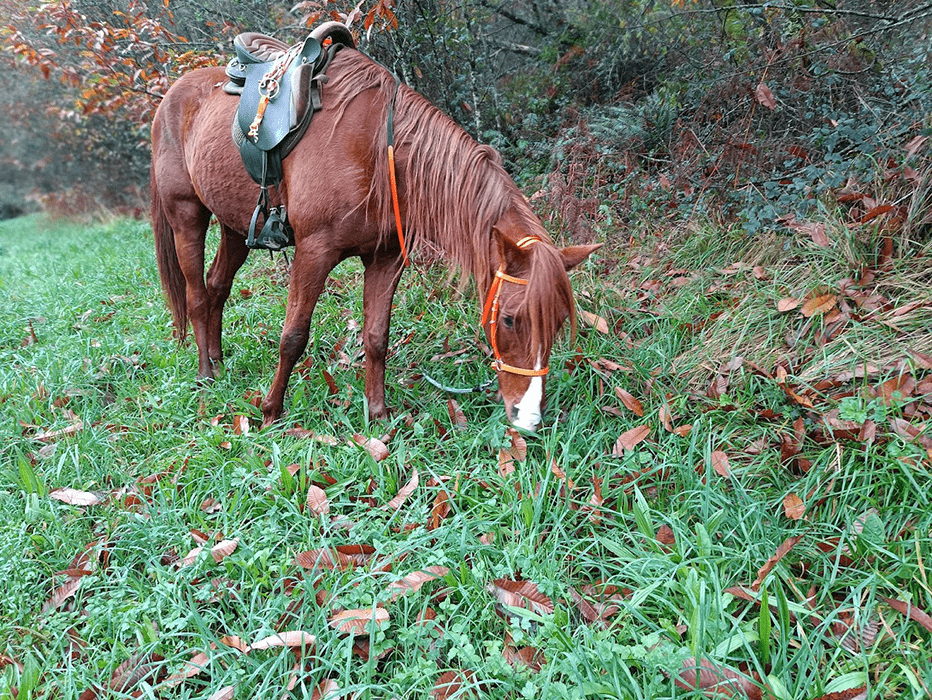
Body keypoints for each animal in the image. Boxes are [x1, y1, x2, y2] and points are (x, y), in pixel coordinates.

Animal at [150, 45, 600, 432]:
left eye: (559, 322)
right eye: (508, 319)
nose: (528, 418)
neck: (377, 152)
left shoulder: (386, 259)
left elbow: (377, 338)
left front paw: (379, 414)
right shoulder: (314, 253)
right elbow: (293, 337)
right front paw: (271, 412)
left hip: (234, 226)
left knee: (217, 286)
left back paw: (218, 360)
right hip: (187, 217)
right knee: (196, 295)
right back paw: (206, 374)